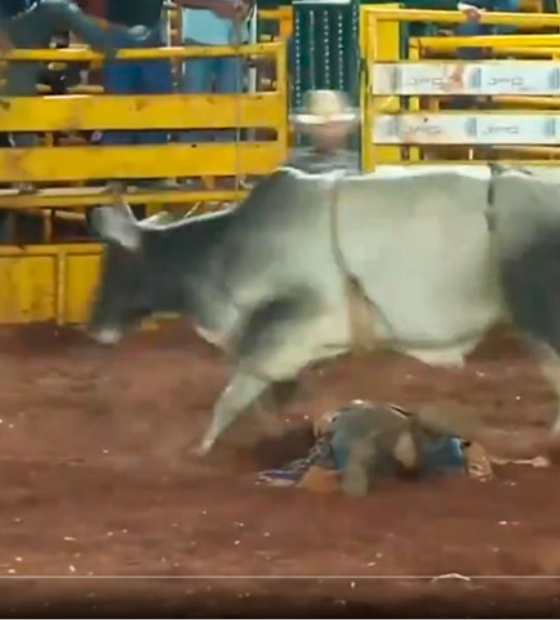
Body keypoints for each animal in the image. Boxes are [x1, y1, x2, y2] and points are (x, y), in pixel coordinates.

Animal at [86, 165, 560, 456]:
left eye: (114, 264)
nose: (92, 327)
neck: (226, 250)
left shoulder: (286, 330)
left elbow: (234, 393)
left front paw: (200, 447)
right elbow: (266, 395)